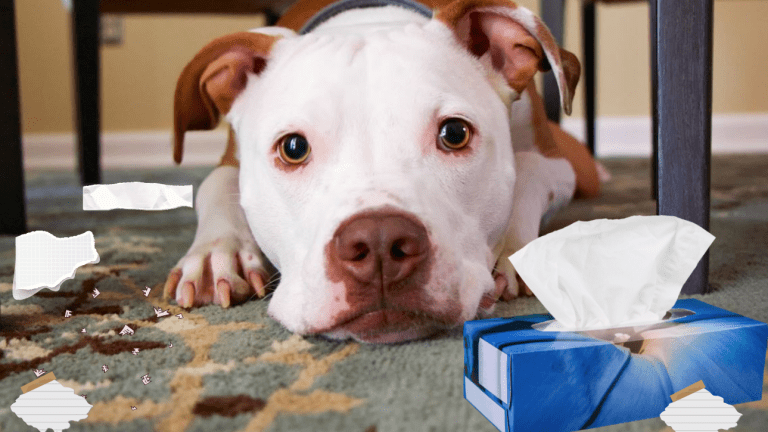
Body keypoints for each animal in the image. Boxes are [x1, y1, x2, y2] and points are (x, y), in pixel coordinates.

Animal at [165, 0, 604, 342]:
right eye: (293, 148)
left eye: (455, 133)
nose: (378, 242)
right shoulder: (230, 162)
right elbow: (215, 185)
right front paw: (216, 255)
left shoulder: (557, 164)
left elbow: (528, 171)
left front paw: (513, 252)